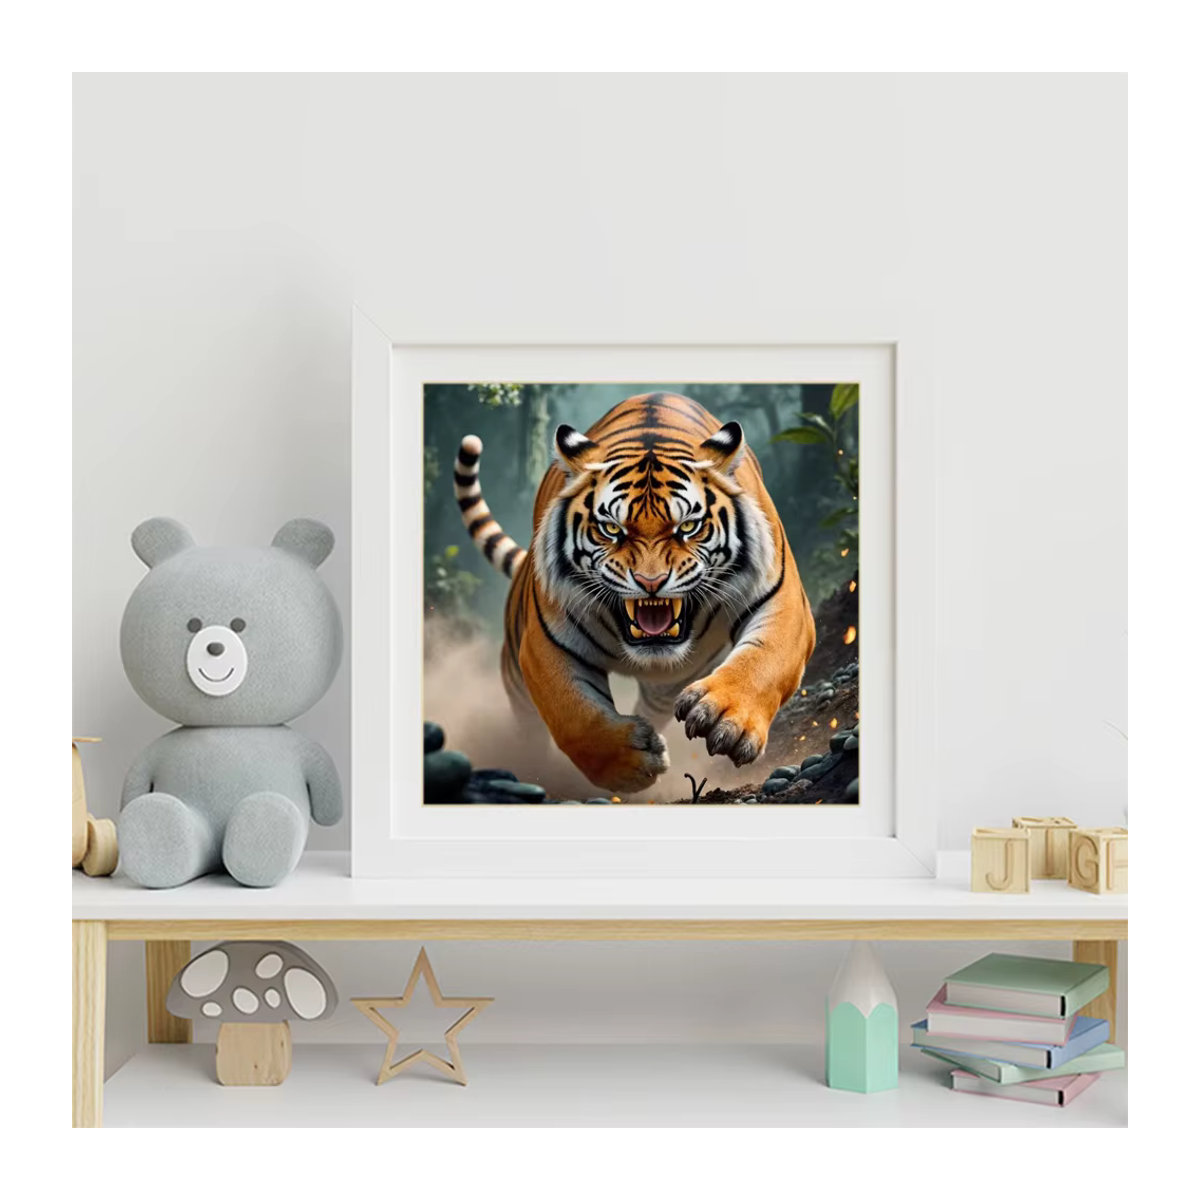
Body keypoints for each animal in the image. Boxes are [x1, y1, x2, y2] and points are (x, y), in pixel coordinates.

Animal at [454, 391, 816, 794]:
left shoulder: (783, 600)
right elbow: (572, 712)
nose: (650, 581)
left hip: (667, 685)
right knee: (528, 722)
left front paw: (726, 716)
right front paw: (630, 763)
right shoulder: (543, 643)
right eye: (612, 529)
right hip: (515, 671)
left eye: (688, 526)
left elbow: (766, 659)